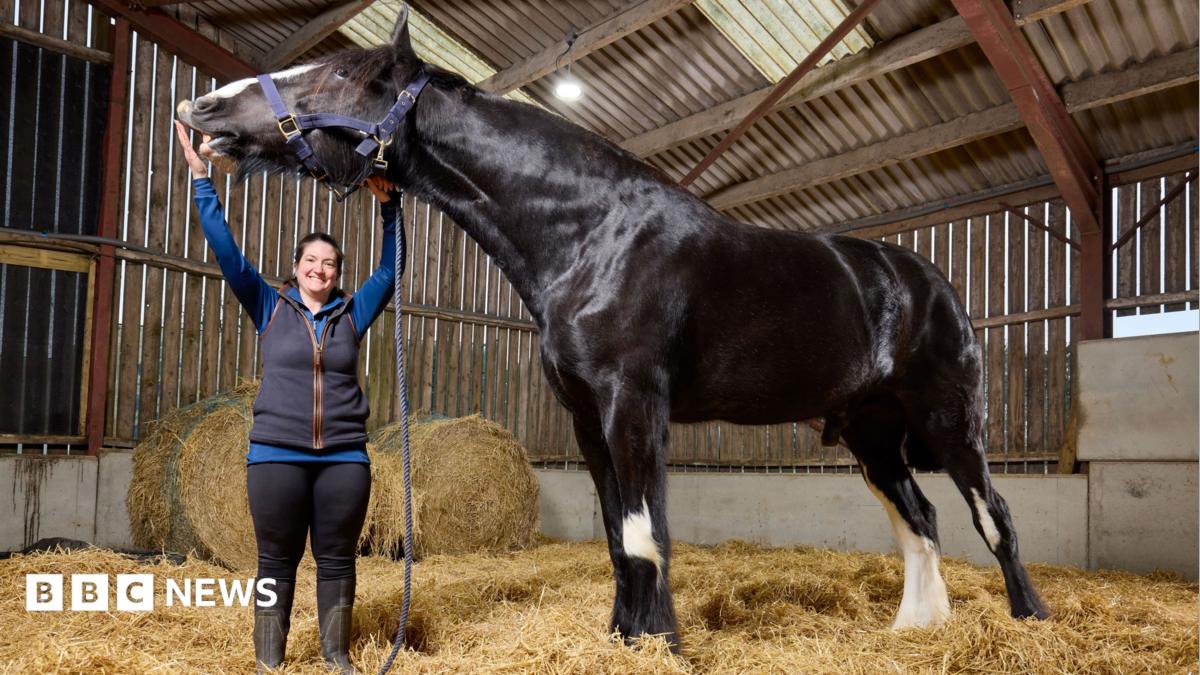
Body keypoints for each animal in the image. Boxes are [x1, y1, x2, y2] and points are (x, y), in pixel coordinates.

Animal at [175, 6, 1048, 650]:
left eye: (340, 74)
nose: (202, 107)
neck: (592, 233)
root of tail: (928, 281)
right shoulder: (586, 416)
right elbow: (614, 532)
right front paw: (627, 635)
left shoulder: (635, 404)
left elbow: (644, 531)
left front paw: (660, 641)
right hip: (871, 434)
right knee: (921, 519)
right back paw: (916, 627)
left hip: (950, 421)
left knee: (994, 516)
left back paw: (1028, 618)